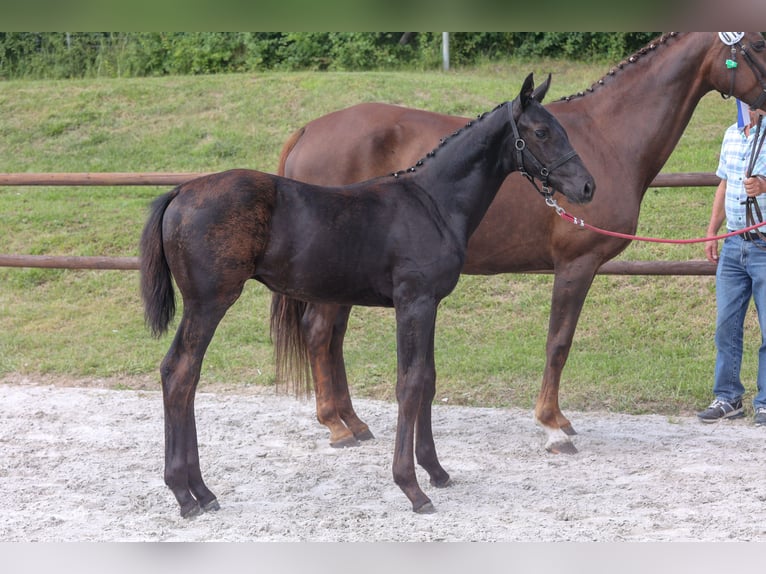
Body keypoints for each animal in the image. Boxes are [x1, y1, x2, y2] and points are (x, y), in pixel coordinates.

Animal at [141, 73, 596, 516]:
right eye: (541, 131)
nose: (587, 187)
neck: (432, 203)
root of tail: (180, 192)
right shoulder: (413, 303)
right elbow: (409, 384)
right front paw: (412, 488)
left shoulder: (429, 304)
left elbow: (427, 380)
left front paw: (436, 470)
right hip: (209, 303)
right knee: (180, 374)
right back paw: (189, 494)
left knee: (182, 375)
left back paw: (199, 492)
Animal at [280, 32, 766, 454]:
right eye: (759, 43)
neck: (609, 135)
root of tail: (307, 130)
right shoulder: (575, 265)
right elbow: (558, 342)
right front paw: (552, 425)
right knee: (320, 333)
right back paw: (337, 426)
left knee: (332, 337)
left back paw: (353, 421)